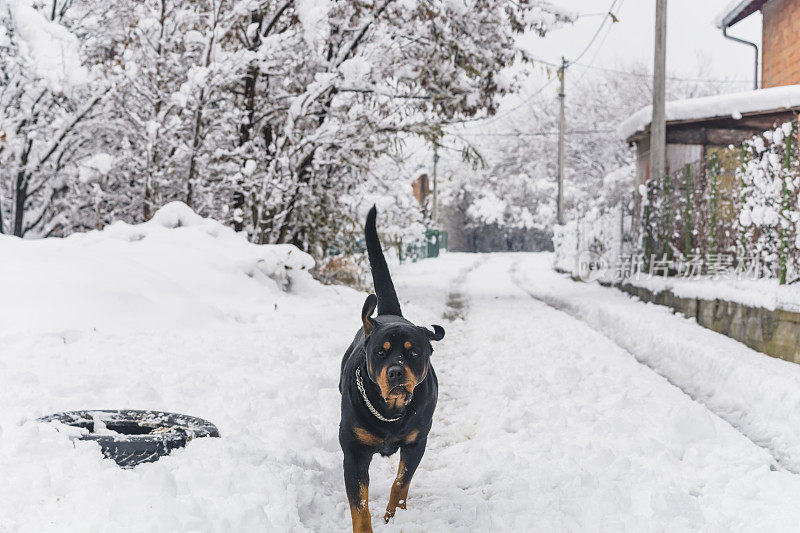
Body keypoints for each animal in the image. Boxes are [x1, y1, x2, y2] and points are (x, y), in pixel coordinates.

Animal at [340, 207, 446, 532]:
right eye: (380, 352)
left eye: (413, 352)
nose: (396, 372)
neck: (390, 411)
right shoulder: (354, 452)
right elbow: (359, 503)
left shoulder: (416, 443)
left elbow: (401, 483)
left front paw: (393, 517)